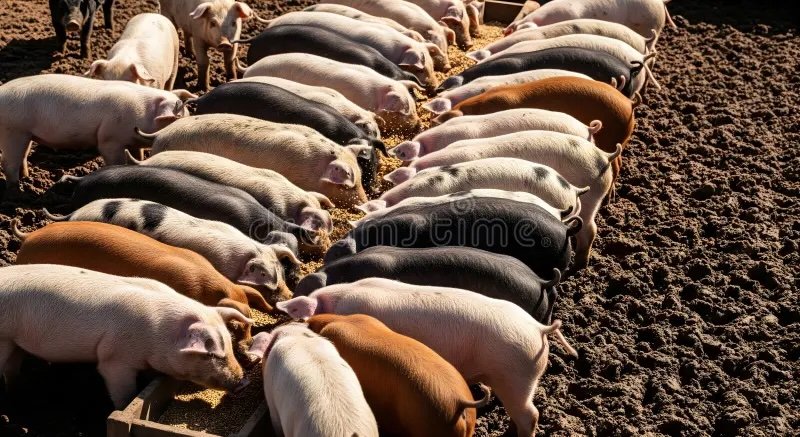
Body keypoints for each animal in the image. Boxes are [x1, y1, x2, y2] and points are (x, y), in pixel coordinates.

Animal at [0, 74, 193, 191]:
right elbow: (115, 159)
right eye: (177, 119)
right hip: (12, 131)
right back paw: (16, 189)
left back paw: (26, 178)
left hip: (25, 134)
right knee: (8, 163)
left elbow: (137, 154)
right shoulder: (109, 138)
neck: (144, 112)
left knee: (21, 157)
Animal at [0, 264, 249, 408]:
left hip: (14, 341)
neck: (157, 333)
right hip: (3, 338)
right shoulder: (115, 358)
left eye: (230, 345)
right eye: (211, 354)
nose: (243, 381)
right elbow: (123, 392)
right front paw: (123, 405)